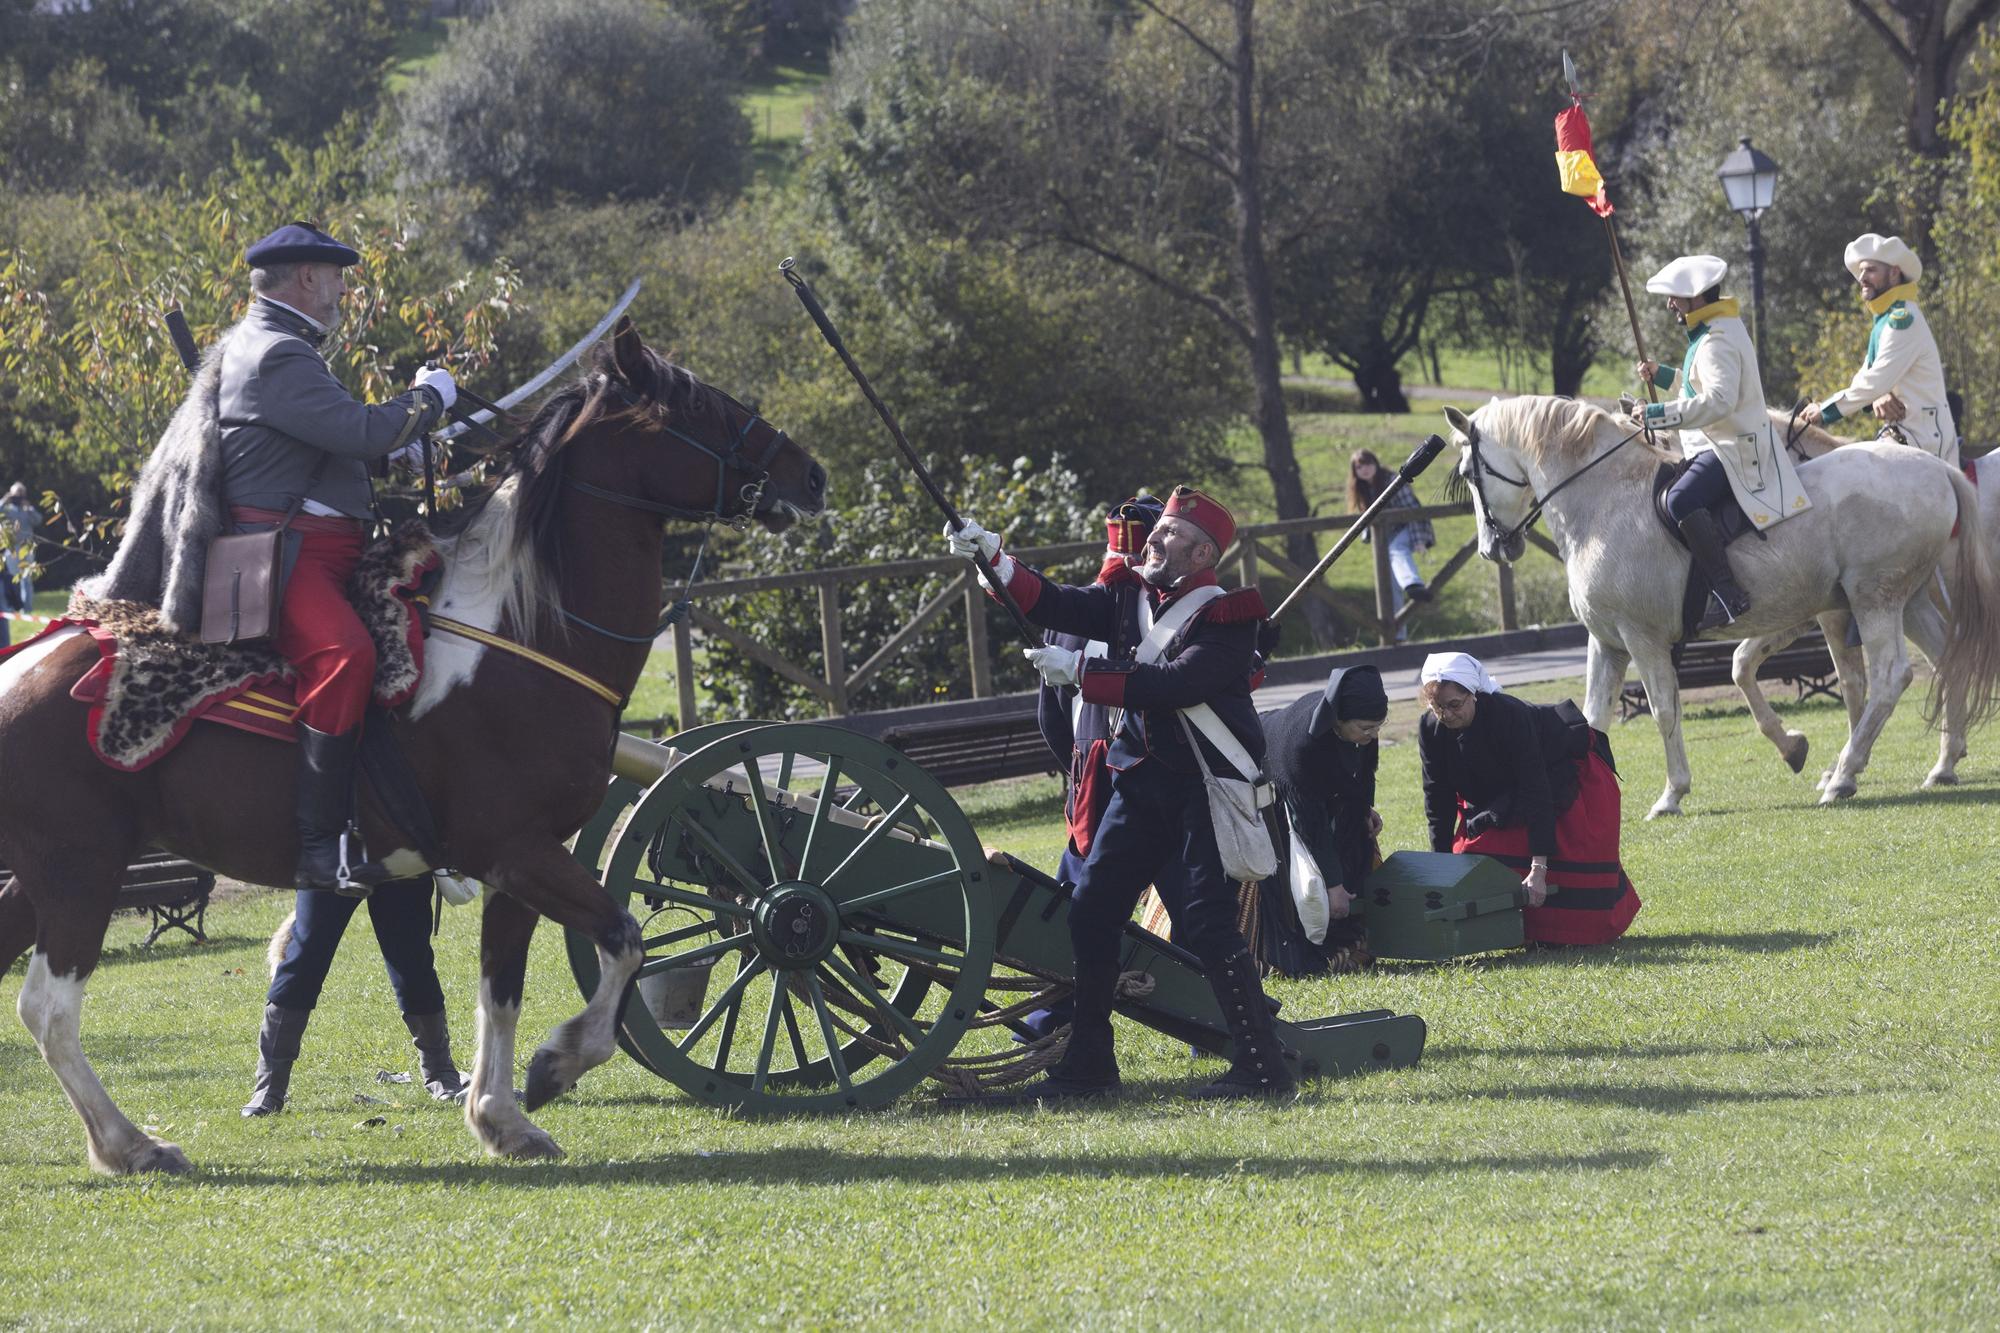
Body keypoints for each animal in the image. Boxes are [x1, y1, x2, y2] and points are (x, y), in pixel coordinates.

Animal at [0, 320, 824, 1160]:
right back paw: (131, 1143)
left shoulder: (513, 867)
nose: (813, 475)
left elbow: (502, 989)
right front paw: (555, 1065)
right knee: (48, 1007)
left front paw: (501, 1115)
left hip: (39, 879)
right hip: (81, 872)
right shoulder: (519, 849)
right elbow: (625, 941)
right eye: (704, 406)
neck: (521, 635)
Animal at [1440, 392, 2000, 808]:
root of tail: (1935, 468)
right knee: (1947, 661)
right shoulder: (1608, 643)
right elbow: (1593, 718)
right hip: (1909, 599)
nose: (1494, 548)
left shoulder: (1643, 640)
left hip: (1874, 598)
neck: (1605, 500)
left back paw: (1845, 775)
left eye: (1468, 473)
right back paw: (1941, 765)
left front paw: (1672, 794)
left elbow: (1665, 710)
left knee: (1889, 677)